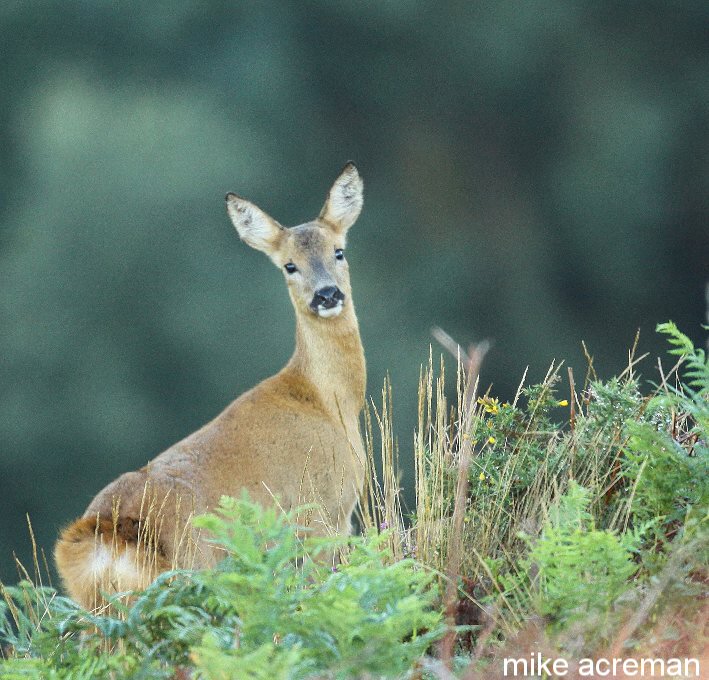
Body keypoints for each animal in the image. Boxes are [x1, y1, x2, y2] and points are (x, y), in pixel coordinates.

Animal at [54, 163, 367, 611]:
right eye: (289, 266)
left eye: (339, 251)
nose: (327, 295)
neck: (328, 400)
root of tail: (111, 534)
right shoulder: (327, 511)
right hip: (195, 568)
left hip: (92, 601)